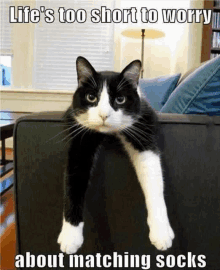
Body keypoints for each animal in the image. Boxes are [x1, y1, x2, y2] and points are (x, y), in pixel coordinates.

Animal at [57, 56, 174, 254]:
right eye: (91, 97)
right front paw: (70, 236)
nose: (104, 115)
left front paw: (161, 231)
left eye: (120, 99)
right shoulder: (80, 136)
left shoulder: (142, 129)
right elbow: (73, 182)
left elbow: (153, 179)